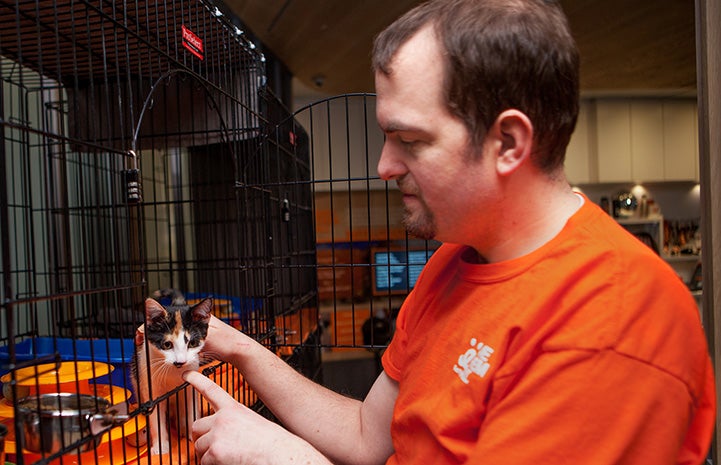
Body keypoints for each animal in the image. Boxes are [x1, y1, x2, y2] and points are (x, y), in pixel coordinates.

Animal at [132, 288, 212, 454]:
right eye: (167, 344)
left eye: (192, 343)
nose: (180, 362)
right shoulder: (150, 389)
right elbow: (156, 419)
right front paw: (160, 446)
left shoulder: (189, 386)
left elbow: (192, 411)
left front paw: (193, 434)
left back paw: (181, 427)